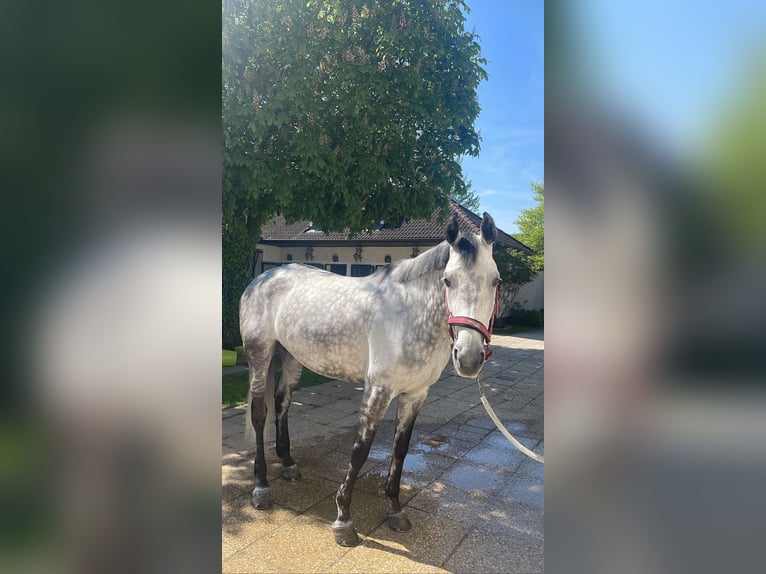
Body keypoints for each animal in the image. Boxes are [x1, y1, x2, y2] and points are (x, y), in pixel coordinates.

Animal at [242, 214, 504, 548]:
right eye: (448, 280)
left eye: (495, 281)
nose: (469, 358)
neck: (410, 315)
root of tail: (264, 277)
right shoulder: (378, 390)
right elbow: (360, 450)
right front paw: (343, 521)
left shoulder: (416, 394)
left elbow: (400, 449)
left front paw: (394, 509)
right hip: (259, 354)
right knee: (259, 413)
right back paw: (261, 487)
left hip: (291, 356)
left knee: (282, 402)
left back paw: (288, 463)